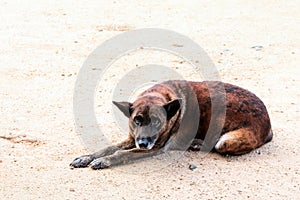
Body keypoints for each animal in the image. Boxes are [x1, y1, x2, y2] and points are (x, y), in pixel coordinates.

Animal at [70, 80, 272, 170]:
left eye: (157, 122)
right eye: (137, 120)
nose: (143, 143)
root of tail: (268, 122)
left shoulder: (154, 148)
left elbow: (122, 154)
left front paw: (104, 161)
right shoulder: (132, 138)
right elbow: (108, 148)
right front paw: (87, 157)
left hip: (224, 136)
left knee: (216, 144)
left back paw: (197, 143)